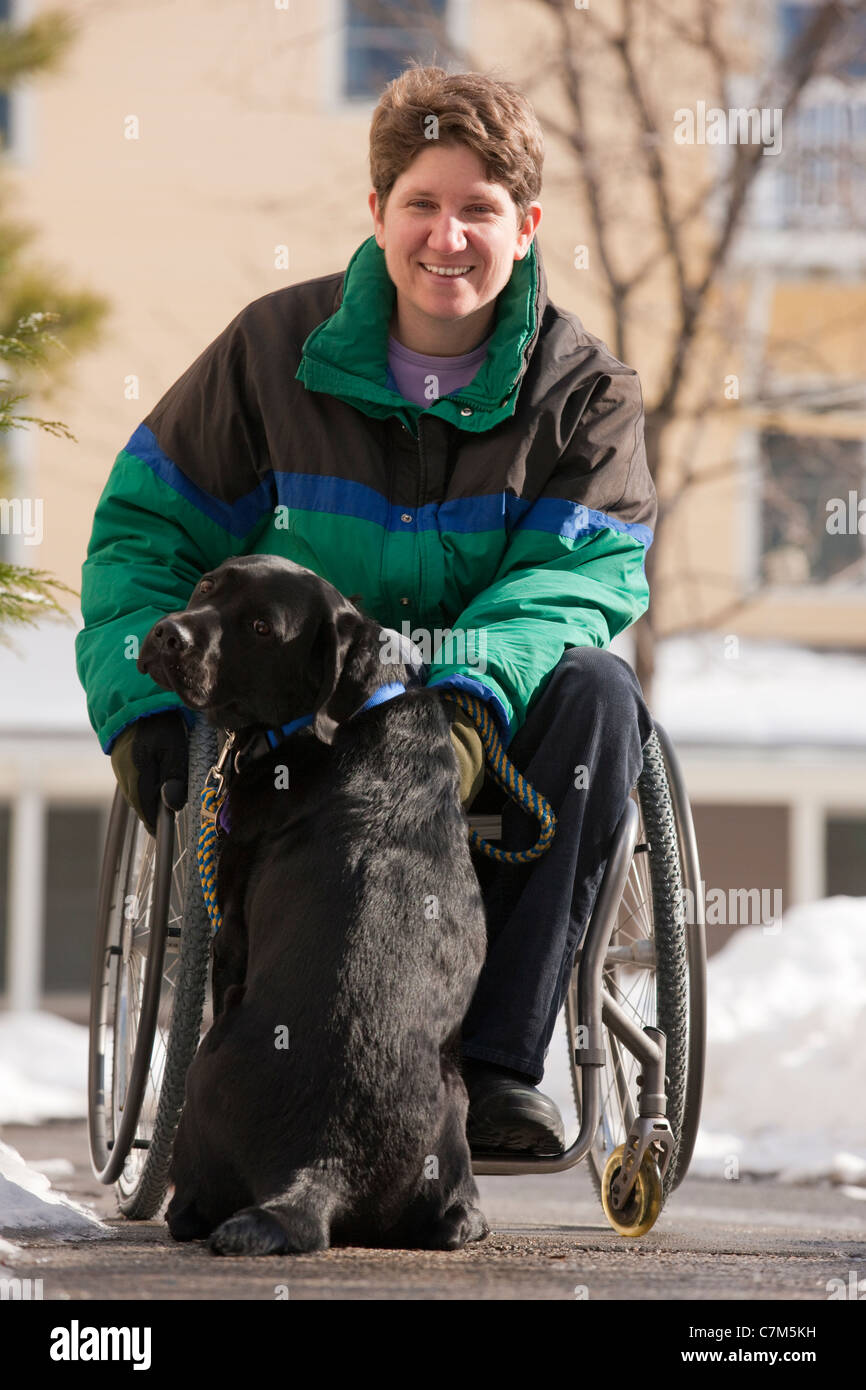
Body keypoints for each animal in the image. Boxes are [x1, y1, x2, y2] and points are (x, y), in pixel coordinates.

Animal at [136, 556, 489, 1262]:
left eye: (260, 628)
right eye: (209, 585)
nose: (167, 634)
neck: (355, 716)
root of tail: (321, 1165)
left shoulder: (231, 929)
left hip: (207, 1059)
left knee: (191, 1208)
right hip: (454, 1093)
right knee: (453, 1216)